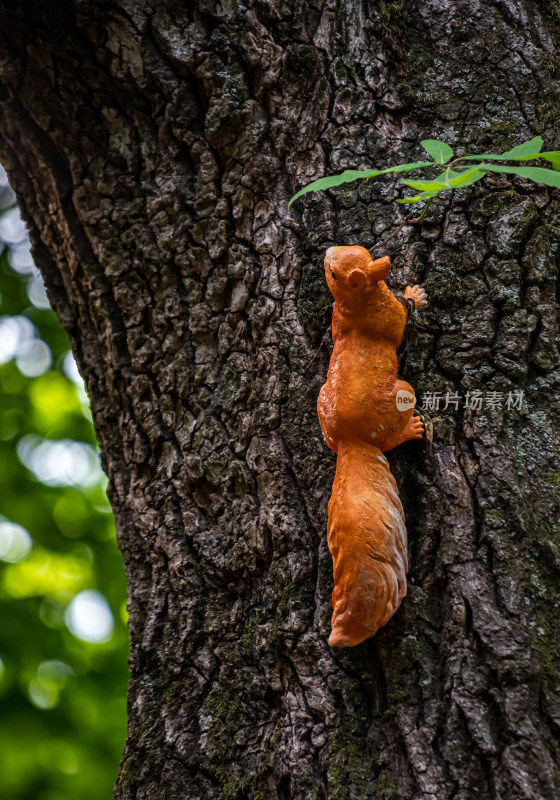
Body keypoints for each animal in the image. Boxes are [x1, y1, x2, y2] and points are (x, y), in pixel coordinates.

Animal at [318, 245, 426, 648]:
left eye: (357, 249)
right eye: (334, 272)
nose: (326, 252)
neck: (356, 302)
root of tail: (352, 441)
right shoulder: (389, 316)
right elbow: (403, 318)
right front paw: (416, 294)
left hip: (321, 403)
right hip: (402, 392)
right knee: (394, 433)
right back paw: (412, 429)